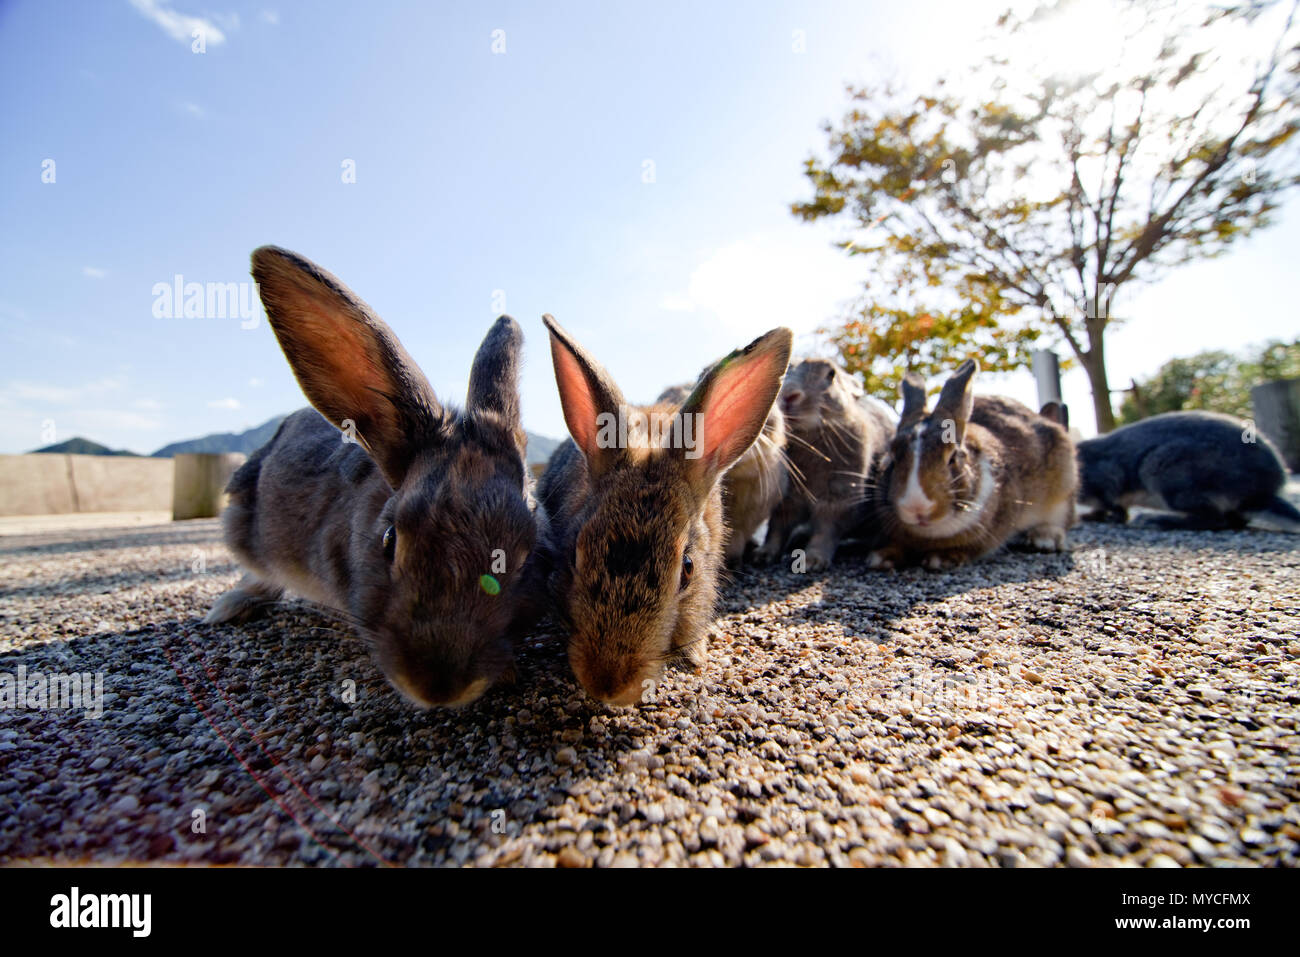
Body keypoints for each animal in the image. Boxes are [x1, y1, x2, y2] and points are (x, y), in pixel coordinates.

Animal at [752, 358, 895, 570]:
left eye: (831, 374)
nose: (788, 395)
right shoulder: (787, 499)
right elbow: (778, 526)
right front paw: (763, 555)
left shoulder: (839, 496)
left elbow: (826, 528)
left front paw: (812, 561)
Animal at [869, 359, 1078, 569]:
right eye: (893, 457)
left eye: (953, 457)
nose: (917, 508)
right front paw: (882, 557)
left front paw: (942, 558)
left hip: (1063, 492)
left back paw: (1045, 538)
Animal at [1076, 410, 1300, 531]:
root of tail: (1263, 493)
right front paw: (1090, 516)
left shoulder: (1107, 478)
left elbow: (1114, 504)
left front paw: (1109, 518)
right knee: (1234, 520)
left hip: (1161, 469)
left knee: (1214, 519)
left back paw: (1155, 520)